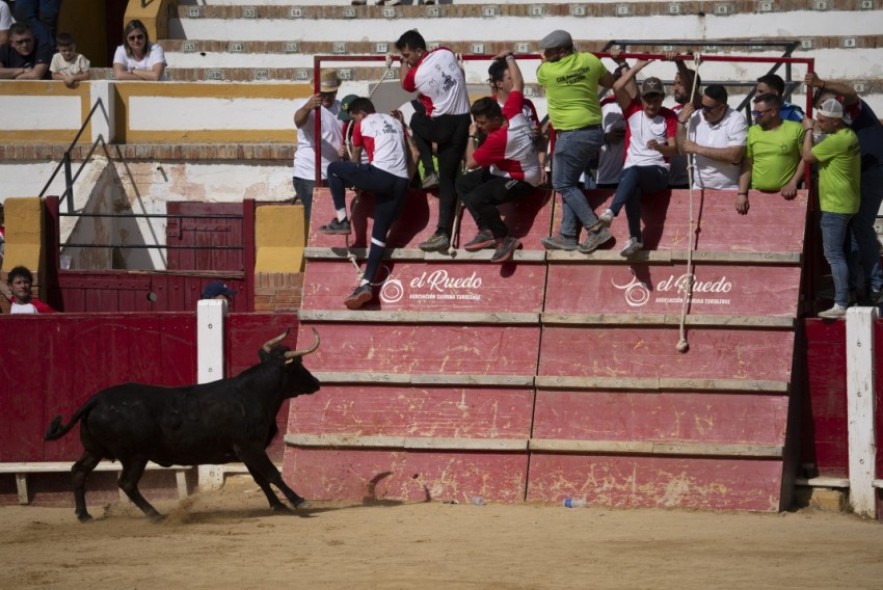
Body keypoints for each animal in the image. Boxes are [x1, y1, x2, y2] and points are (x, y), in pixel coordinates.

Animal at [45, 328, 322, 524]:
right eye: (299, 366)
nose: (317, 383)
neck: (253, 393)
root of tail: (97, 399)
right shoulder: (250, 447)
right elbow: (272, 473)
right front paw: (299, 501)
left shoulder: (246, 451)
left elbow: (260, 478)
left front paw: (278, 505)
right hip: (135, 456)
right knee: (126, 483)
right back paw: (156, 515)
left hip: (94, 450)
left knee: (79, 471)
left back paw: (84, 515)